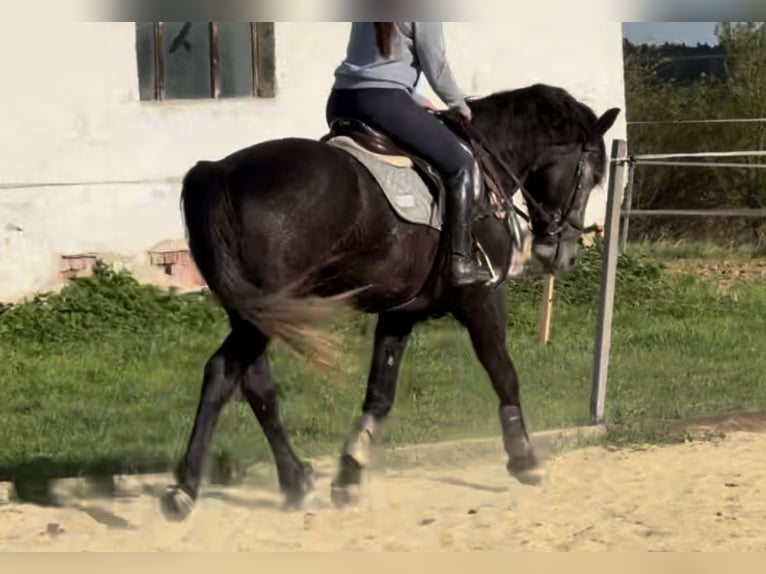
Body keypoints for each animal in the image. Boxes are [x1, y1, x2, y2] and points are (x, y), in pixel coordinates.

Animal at [160, 82, 621, 521]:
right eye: (591, 176)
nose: (564, 255)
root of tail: (219, 170)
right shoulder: (480, 298)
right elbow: (504, 374)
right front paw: (524, 458)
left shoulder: (401, 313)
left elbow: (380, 395)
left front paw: (349, 473)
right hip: (265, 314)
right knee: (223, 372)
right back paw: (185, 490)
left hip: (255, 313)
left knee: (254, 383)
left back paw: (293, 480)